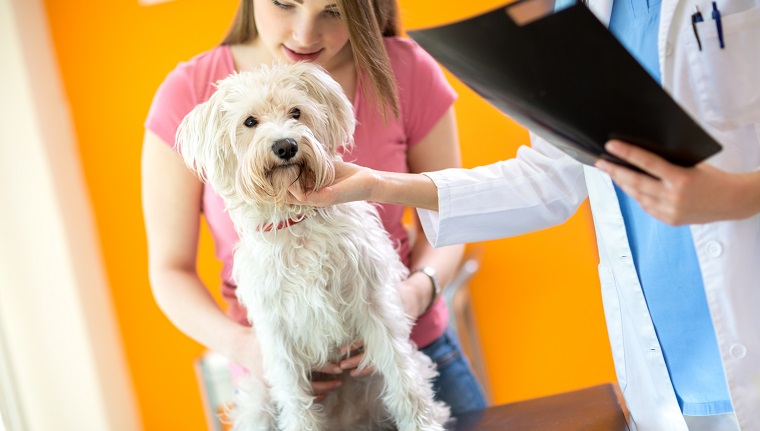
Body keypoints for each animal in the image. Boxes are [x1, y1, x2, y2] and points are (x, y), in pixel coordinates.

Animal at [177, 63, 452, 431]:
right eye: (250, 121)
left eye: (296, 112)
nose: (286, 145)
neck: (296, 223)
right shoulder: (277, 334)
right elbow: (295, 399)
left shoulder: (373, 304)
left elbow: (401, 375)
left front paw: (422, 424)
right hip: (259, 396)